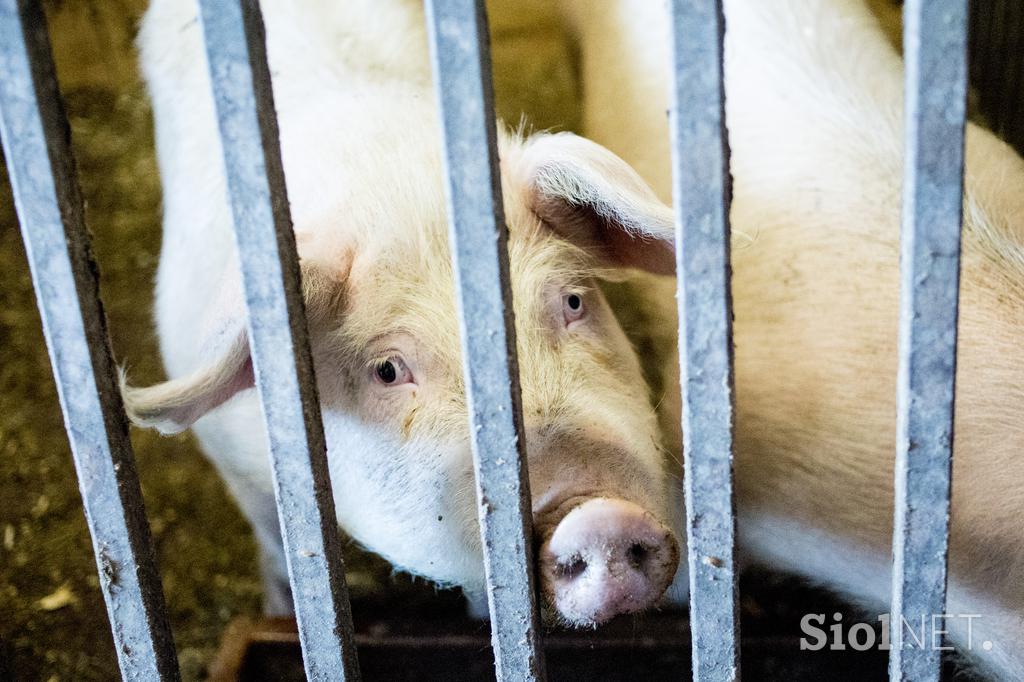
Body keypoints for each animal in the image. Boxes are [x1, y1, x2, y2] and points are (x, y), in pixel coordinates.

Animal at [123, 0, 692, 626]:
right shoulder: (237, 468)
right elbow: (277, 545)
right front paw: (278, 614)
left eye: (572, 301)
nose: (600, 519)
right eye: (388, 370)